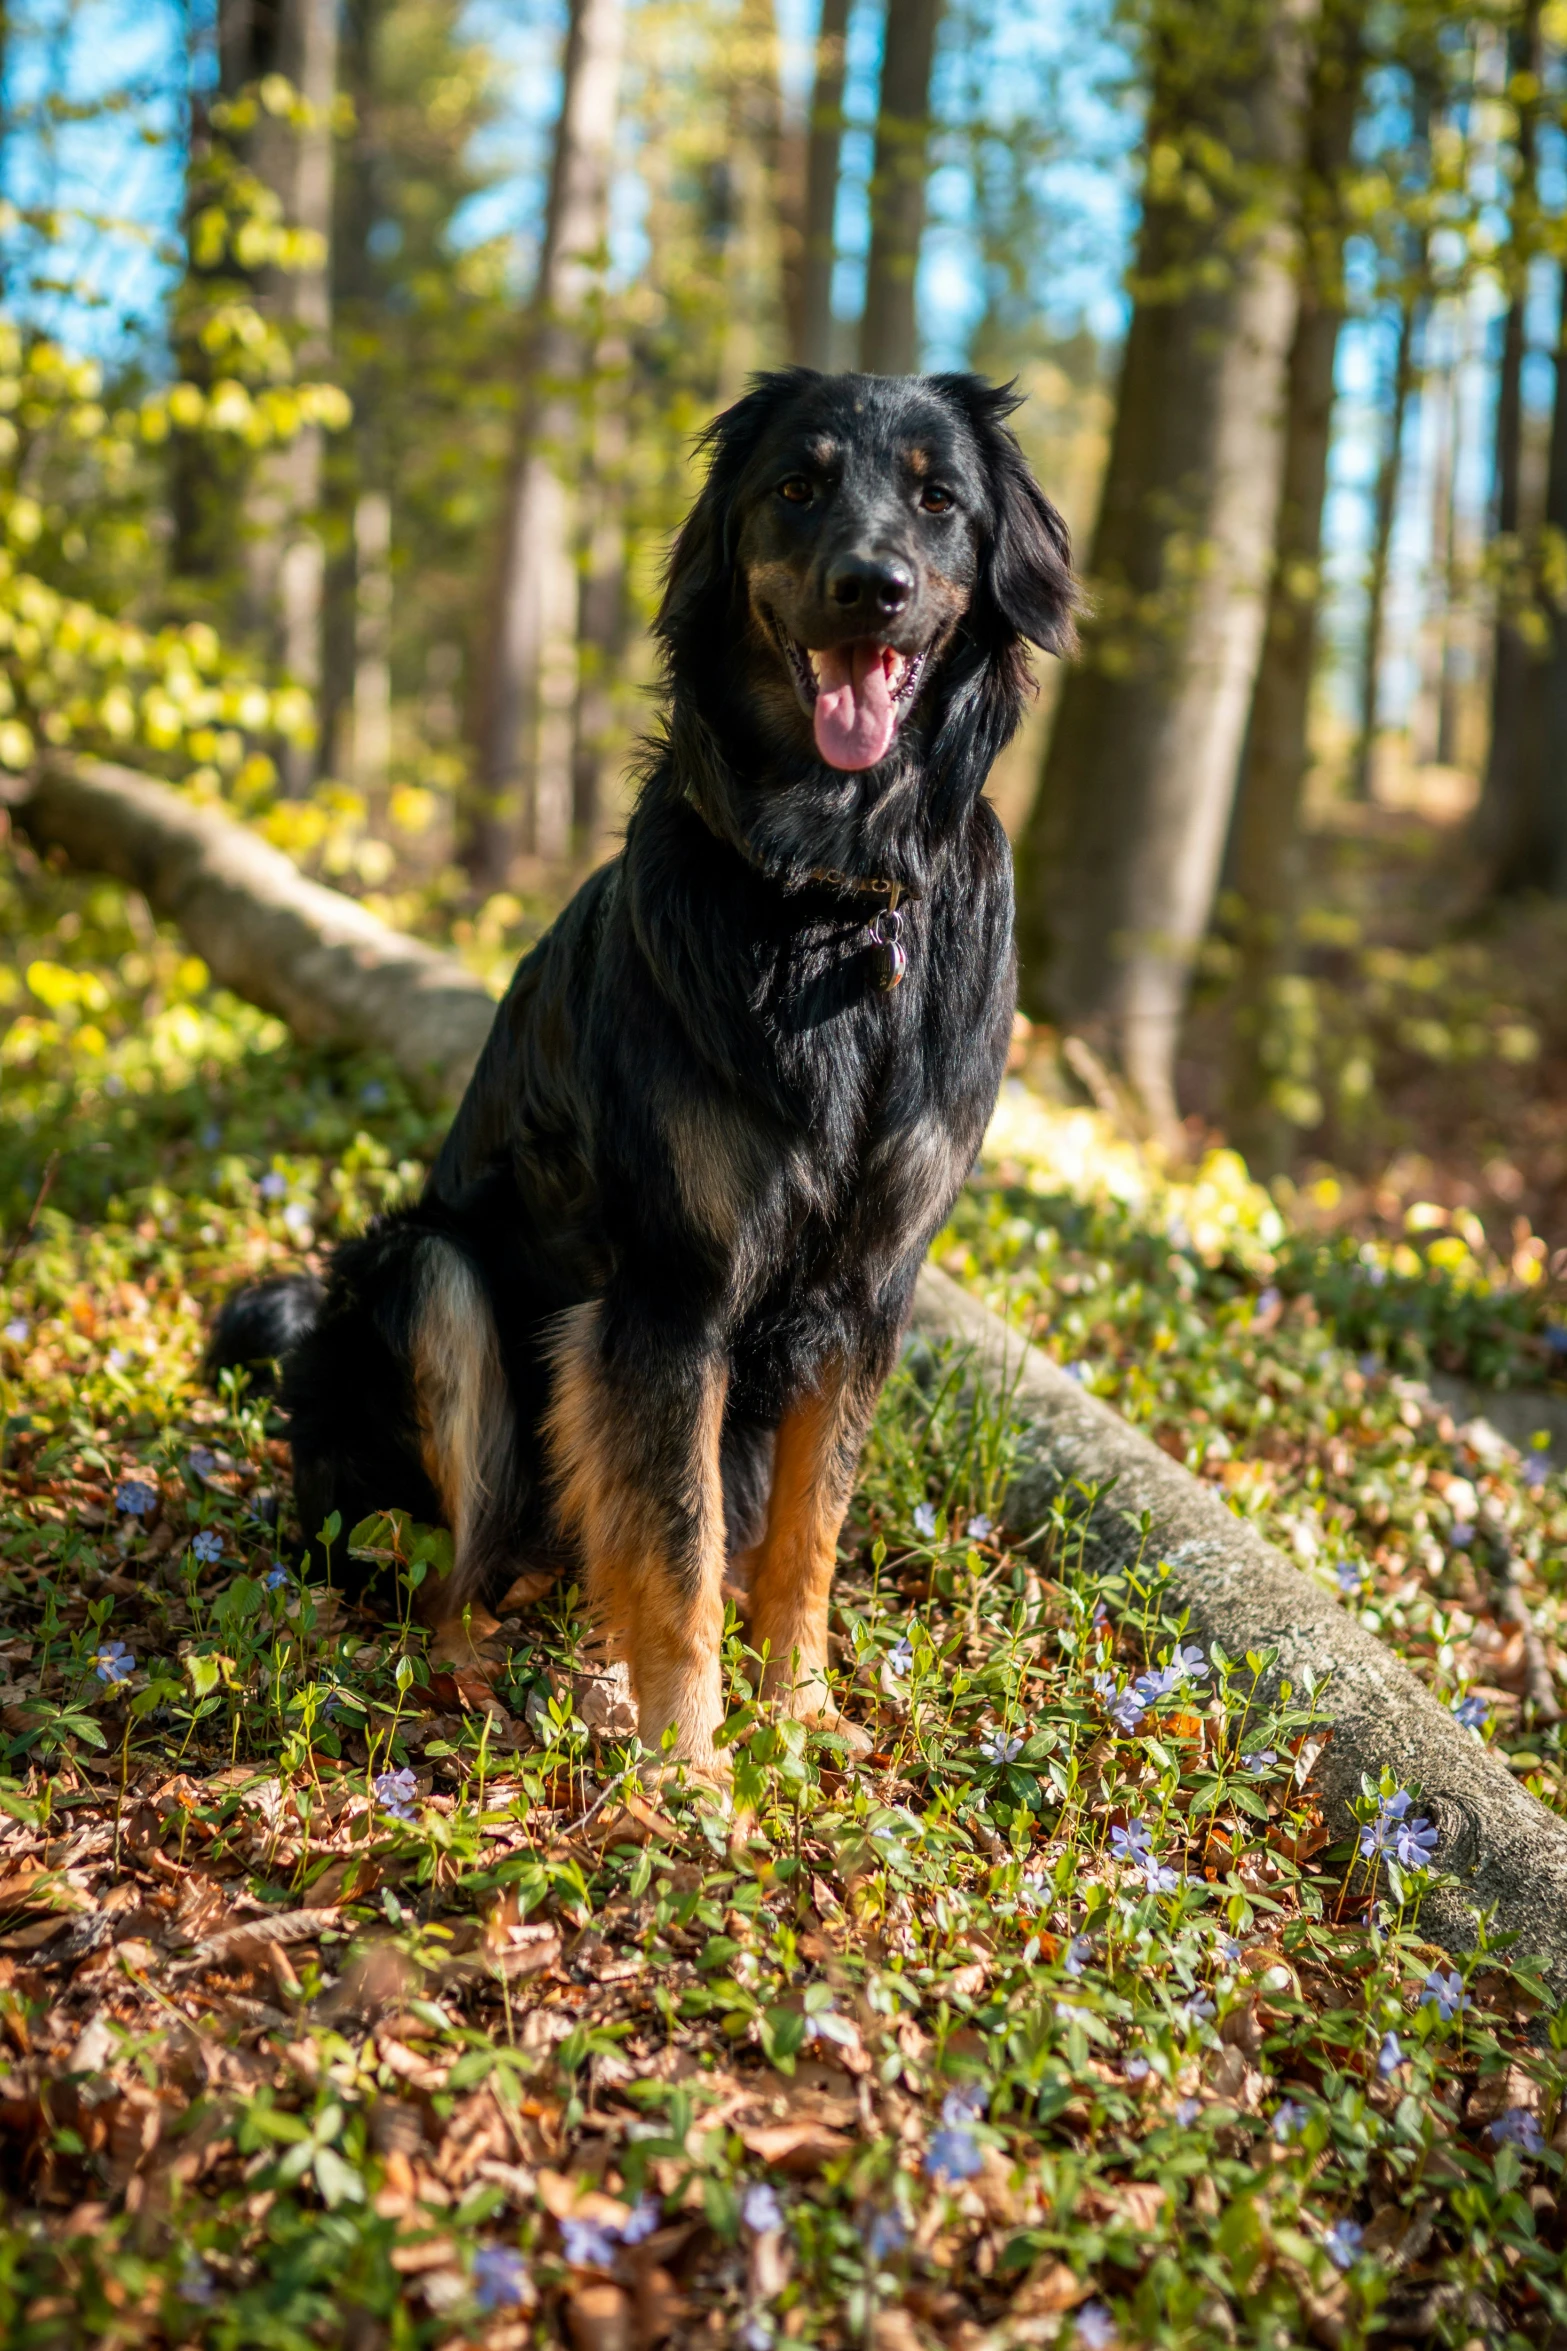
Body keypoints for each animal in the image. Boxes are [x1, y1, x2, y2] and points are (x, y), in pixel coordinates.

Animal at [211, 366, 1080, 1767]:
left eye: (938, 498)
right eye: (798, 485)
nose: (871, 584)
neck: (828, 897)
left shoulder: (866, 1297)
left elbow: (804, 1536)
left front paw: (800, 1713)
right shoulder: (672, 1292)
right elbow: (674, 1547)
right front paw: (686, 1764)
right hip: (428, 1272)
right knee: (448, 1561)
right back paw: (467, 1674)